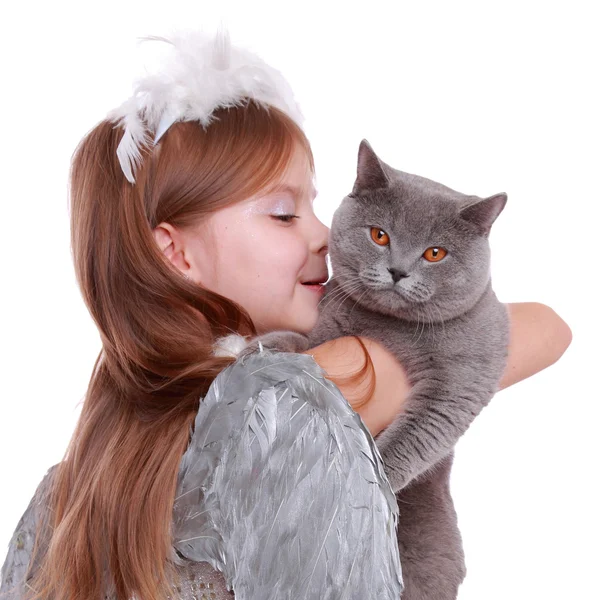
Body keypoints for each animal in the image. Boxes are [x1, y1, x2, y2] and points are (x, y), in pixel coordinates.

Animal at [239, 139, 510, 600]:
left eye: (435, 253)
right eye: (379, 235)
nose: (397, 270)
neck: (392, 328)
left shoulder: (457, 384)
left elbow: (411, 441)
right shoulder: (328, 324)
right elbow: (308, 345)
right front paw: (264, 345)